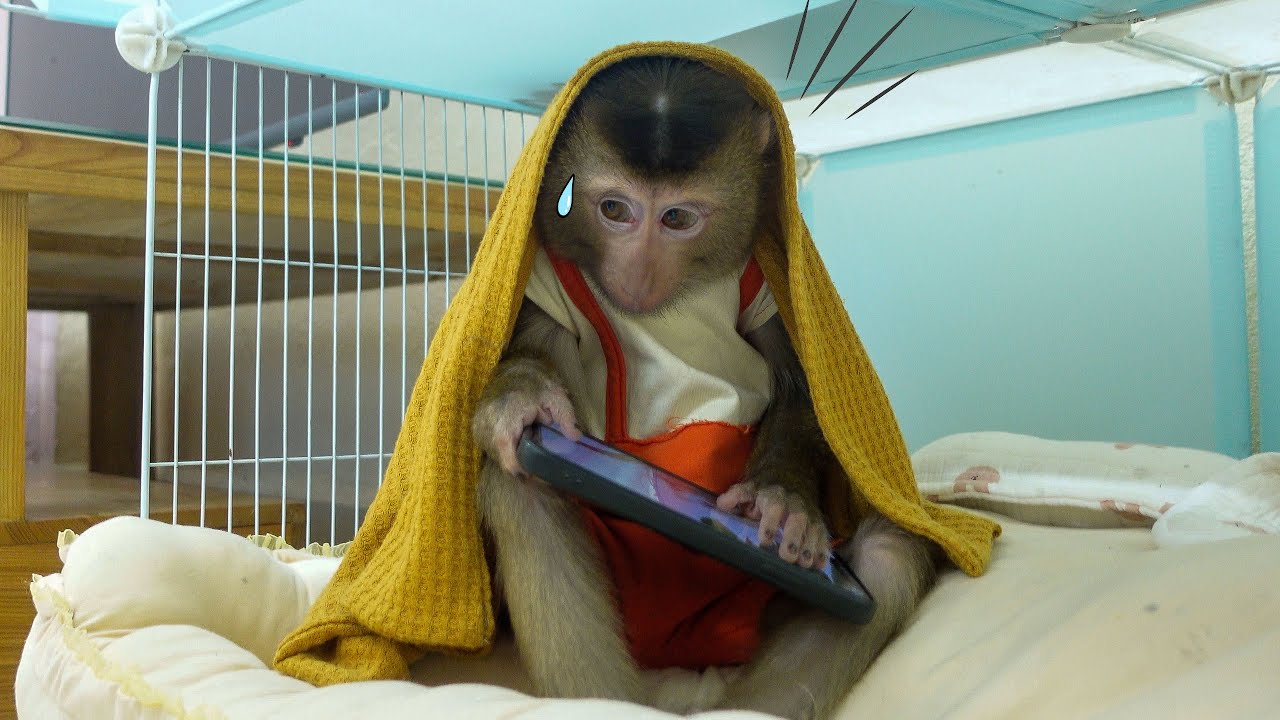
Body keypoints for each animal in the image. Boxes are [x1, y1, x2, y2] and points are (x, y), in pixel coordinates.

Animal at [471, 55, 936, 720]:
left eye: (678, 218)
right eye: (614, 209)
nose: (638, 278)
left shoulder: (768, 274)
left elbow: (798, 385)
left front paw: (781, 501)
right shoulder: (543, 272)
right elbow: (528, 350)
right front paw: (520, 400)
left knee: (888, 558)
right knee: (521, 489)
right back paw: (604, 701)